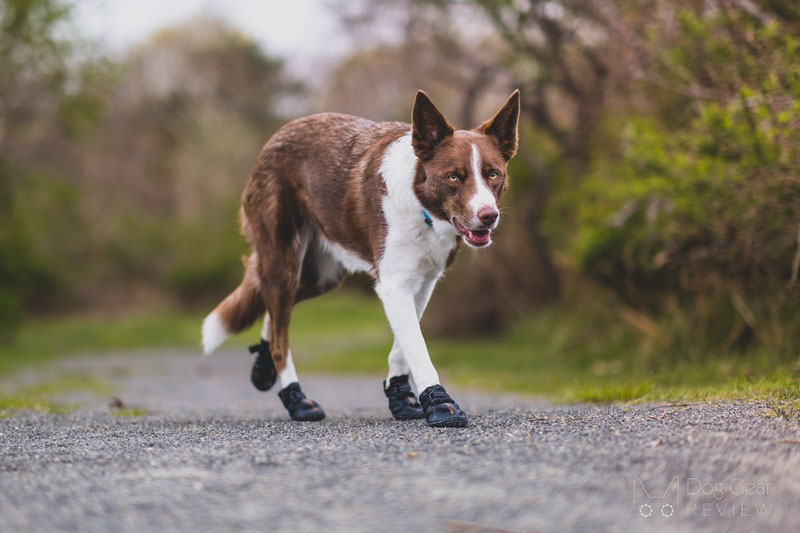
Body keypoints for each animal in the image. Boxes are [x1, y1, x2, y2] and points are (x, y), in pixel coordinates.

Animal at [203, 89, 520, 426]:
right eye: (454, 177)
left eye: (493, 174)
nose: (489, 216)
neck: (420, 206)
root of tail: (276, 136)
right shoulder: (394, 285)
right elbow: (417, 347)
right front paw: (440, 403)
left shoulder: (422, 283)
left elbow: (402, 347)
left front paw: (401, 398)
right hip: (283, 261)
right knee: (279, 336)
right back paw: (296, 399)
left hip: (320, 276)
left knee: (275, 313)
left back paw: (263, 367)